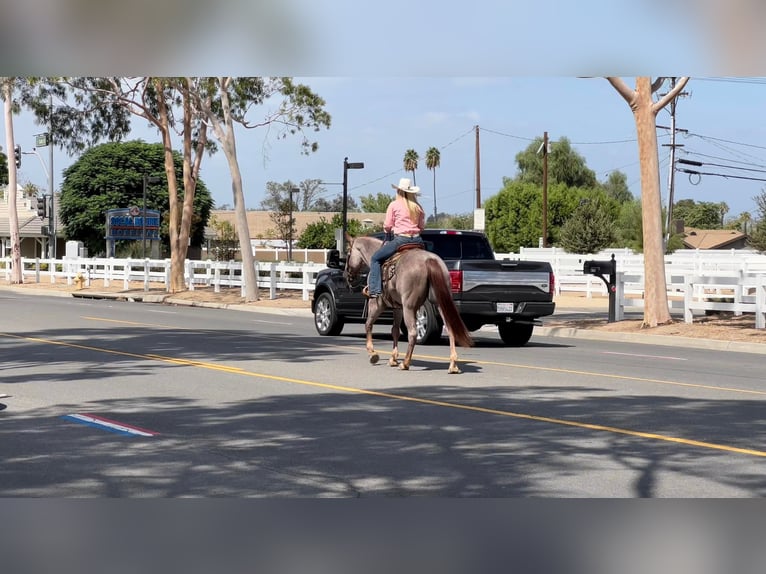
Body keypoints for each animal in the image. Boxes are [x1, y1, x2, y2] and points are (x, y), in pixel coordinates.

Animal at [346, 232, 474, 376]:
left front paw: (372, 353)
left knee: (412, 333)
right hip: (441, 304)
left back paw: (406, 363)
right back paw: (453, 365)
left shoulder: (376, 304)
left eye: (348, 253)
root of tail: (429, 260)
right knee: (450, 328)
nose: (349, 276)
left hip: (409, 307)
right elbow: (395, 330)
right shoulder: (398, 307)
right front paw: (393, 358)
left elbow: (368, 324)